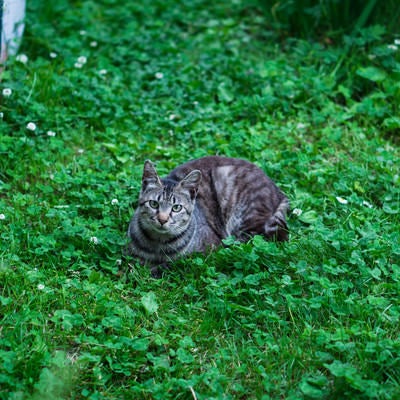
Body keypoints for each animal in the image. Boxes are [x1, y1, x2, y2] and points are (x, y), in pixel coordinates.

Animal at [127, 156, 288, 276]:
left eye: (176, 207)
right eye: (153, 204)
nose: (162, 219)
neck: (158, 244)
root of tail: (279, 192)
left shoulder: (205, 252)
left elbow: (176, 262)